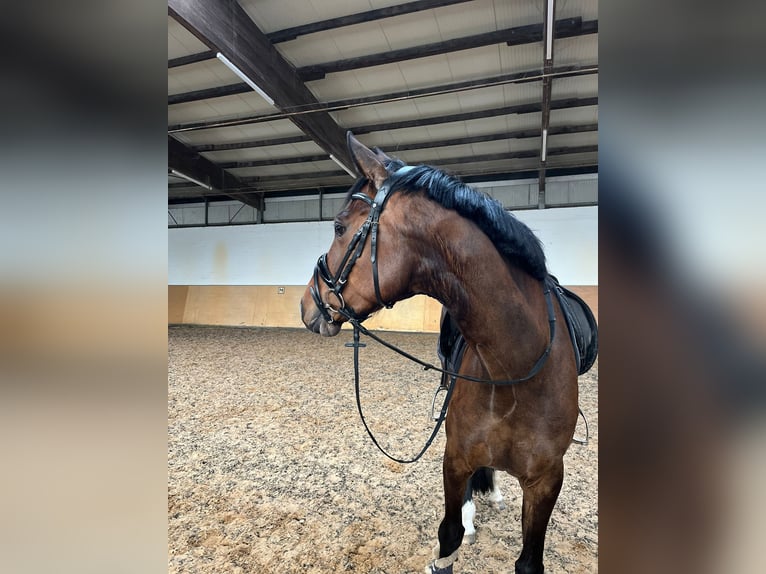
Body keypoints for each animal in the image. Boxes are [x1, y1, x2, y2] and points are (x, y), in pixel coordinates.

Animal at [300, 133, 584, 572]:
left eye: (339, 227)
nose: (306, 305)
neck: (516, 368)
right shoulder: (455, 458)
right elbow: (448, 536)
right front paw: (461, 525)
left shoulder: (547, 481)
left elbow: (529, 561)